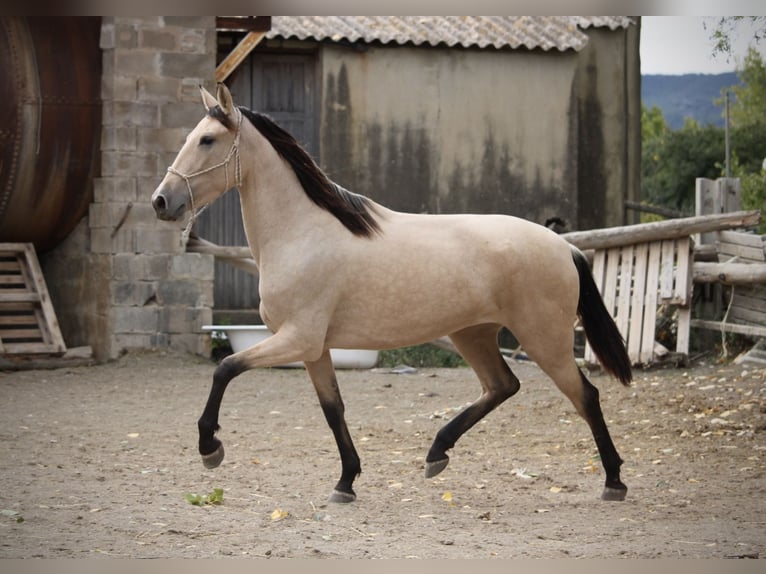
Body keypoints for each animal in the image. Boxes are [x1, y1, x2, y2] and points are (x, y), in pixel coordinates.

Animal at [152, 83, 636, 506]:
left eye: (208, 140)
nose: (162, 201)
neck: (301, 233)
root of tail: (564, 247)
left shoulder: (297, 339)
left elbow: (226, 369)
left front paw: (210, 447)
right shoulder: (314, 349)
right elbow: (333, 409)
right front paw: (346, 482)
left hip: (543, 339)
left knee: (585, 396)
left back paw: (613, 481)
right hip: (473, 334)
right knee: (503, 385)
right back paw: (436, 453)